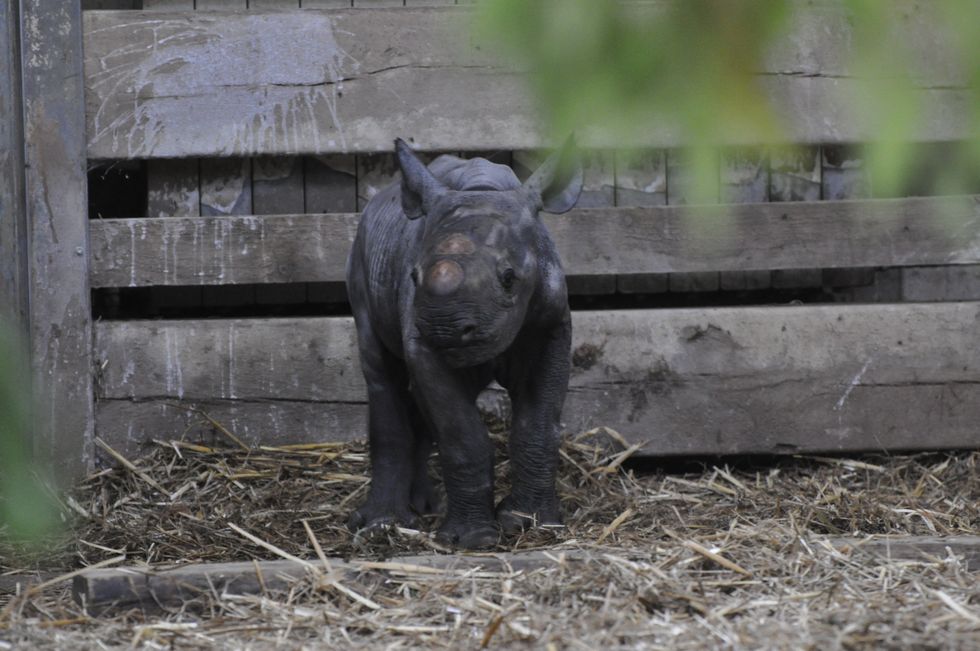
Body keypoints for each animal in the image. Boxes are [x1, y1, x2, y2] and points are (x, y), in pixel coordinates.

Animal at [345, 138, 582, 549]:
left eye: (509, 278)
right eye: (413, 276)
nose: (445, 328)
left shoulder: (550, 327)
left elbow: (537, 424)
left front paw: (532, 522)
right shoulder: (423, 342)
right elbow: (461, 435)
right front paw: (472, 540)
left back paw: (424, 506)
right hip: (359, 255)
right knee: (381, 372)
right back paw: (383, 523)